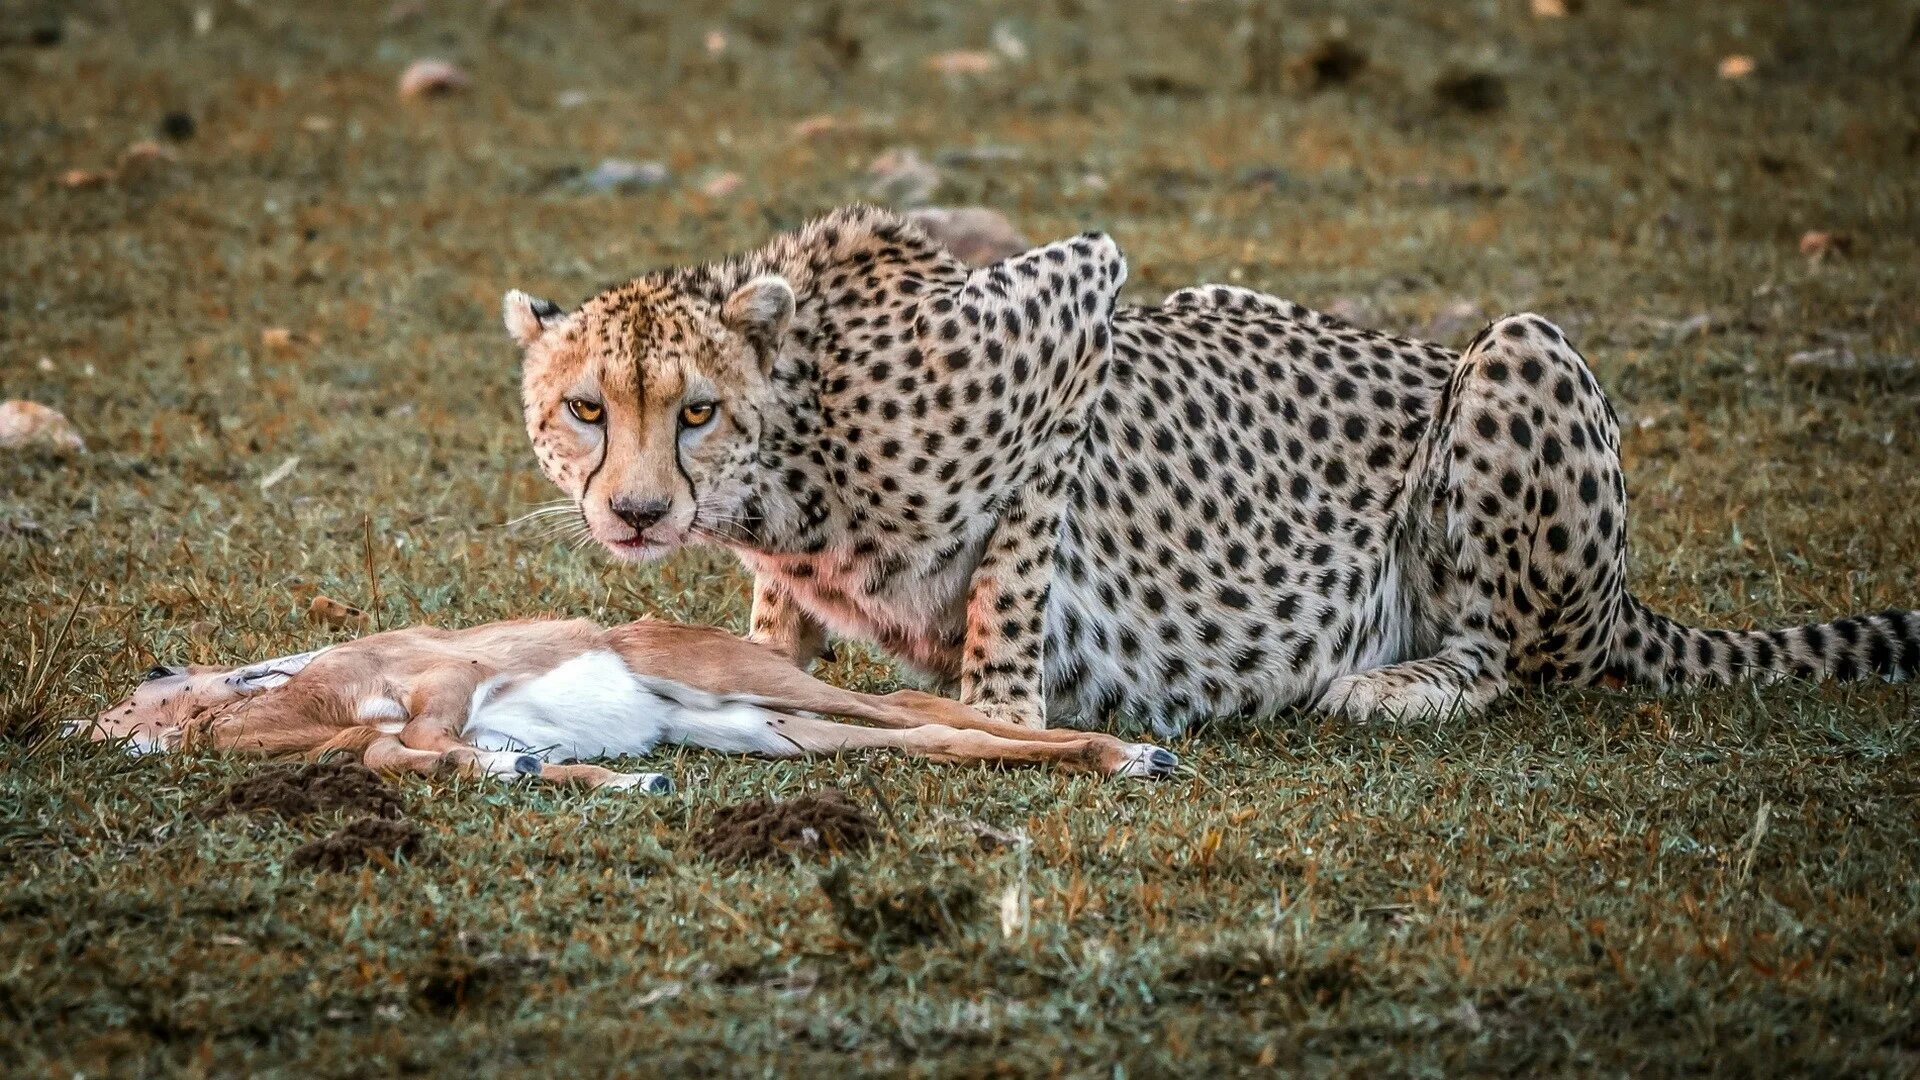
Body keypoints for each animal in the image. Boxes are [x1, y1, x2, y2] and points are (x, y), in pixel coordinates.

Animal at [503, 203, 1912, 730]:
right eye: (585, 410)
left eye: (695, 413)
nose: (638, 510)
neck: (794, 449)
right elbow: (777, 617)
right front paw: (760, 667)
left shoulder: (1077, 315)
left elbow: (1012, 578)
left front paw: (1000, 713)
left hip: (1520, 353)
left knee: (1523, 657)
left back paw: (1399, 685)